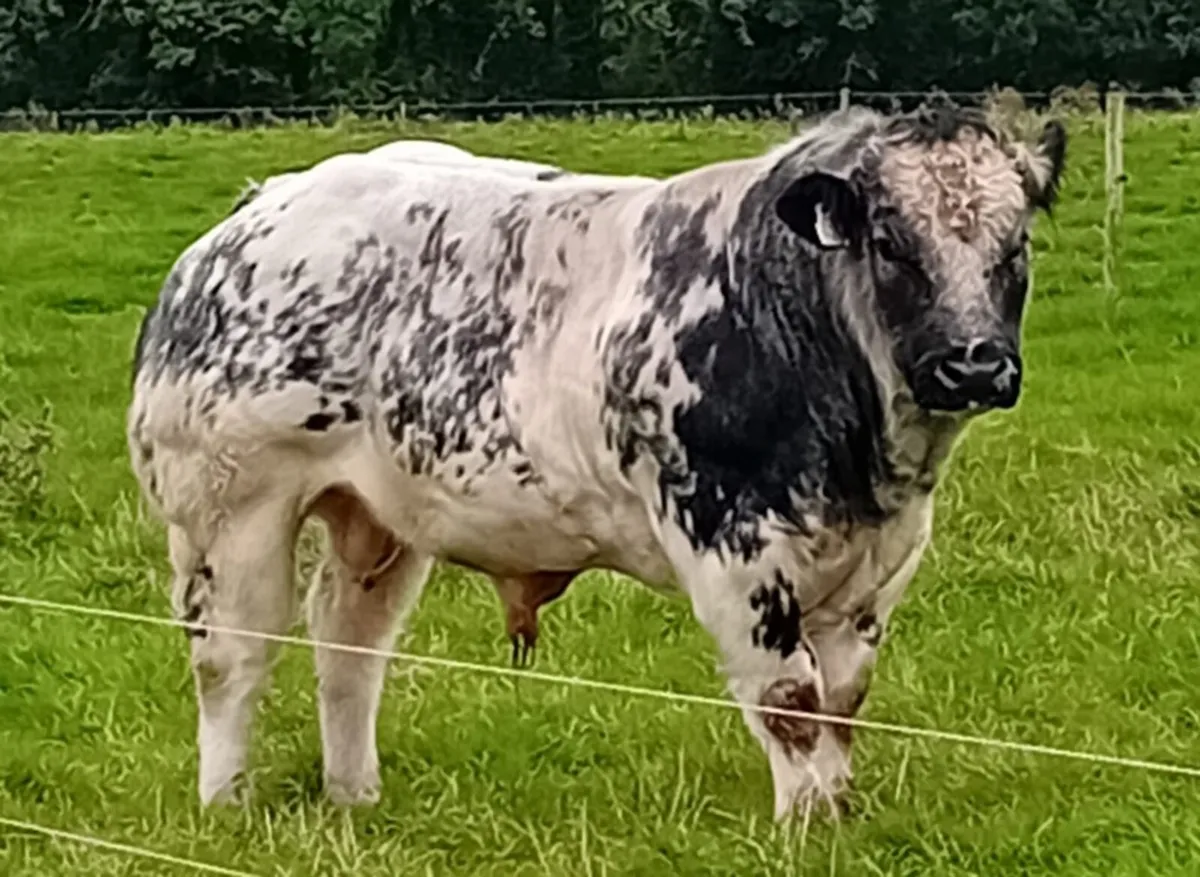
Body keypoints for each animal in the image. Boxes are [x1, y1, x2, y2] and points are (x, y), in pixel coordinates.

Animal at [127, 101, 1066, 820]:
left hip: (379, 516)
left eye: (1015, 247)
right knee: (232, 654)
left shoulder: (875, 571)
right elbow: (790, 702)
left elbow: (840, 706)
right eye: (890, 241)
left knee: (349, 648)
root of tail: (260, 209)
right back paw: (227, 802)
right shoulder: (734, 549)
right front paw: (806, 827)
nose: (974, 362)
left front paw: (837, 814)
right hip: (231, 511)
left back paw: (355, 794)